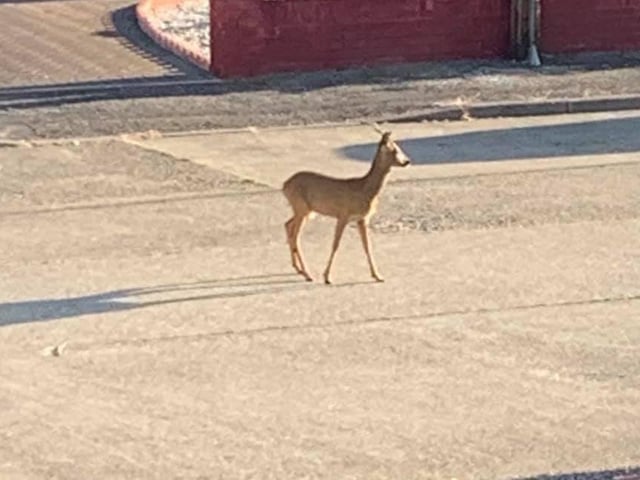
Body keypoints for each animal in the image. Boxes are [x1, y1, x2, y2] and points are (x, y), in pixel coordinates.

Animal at [282, 130, 411, 284]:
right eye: (394, 149)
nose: (407, 161)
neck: (365, 189)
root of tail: (284, 186)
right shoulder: (343, 214)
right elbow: (336, 244)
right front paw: (327, 277)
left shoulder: (362, 219)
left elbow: (367, 246)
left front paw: (378, 276)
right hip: (301, 207)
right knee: (295, 236)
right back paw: (307, 274)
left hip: (305, 211)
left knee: (288, 225)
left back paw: (298, 269)